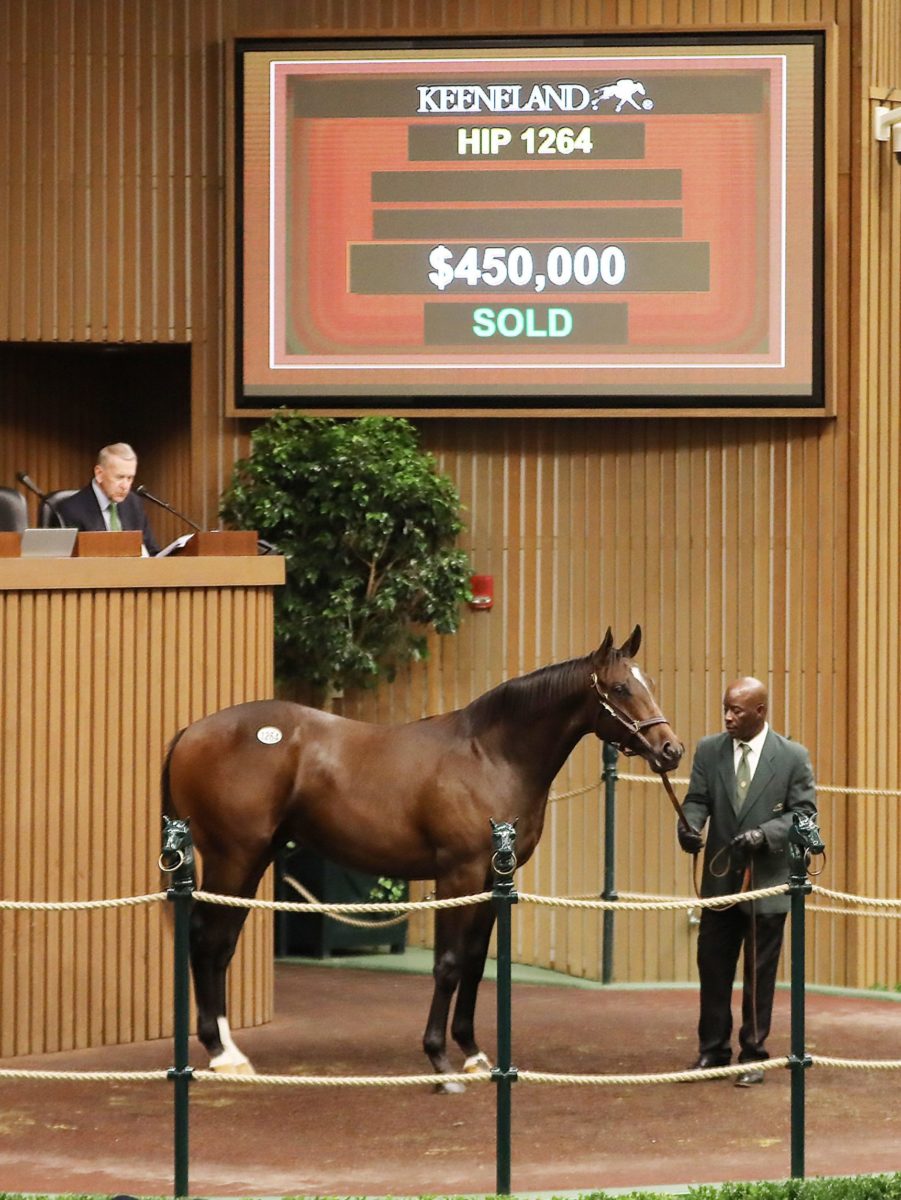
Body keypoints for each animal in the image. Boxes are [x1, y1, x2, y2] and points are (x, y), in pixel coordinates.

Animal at [164, 628, 681, 1089]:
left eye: (651, 683)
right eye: (620, 687)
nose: (670, 750)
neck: (491, 756)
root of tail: (190, 731)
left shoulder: (492, 879)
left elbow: (475, 961)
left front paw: (472, 1053)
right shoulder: (458, 875)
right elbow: (449, 963)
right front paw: (439, 1060)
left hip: (253, 858)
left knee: (221, 944)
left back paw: (230, 1054)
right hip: (234, 856)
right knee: (208, 940)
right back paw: (220, 1053)